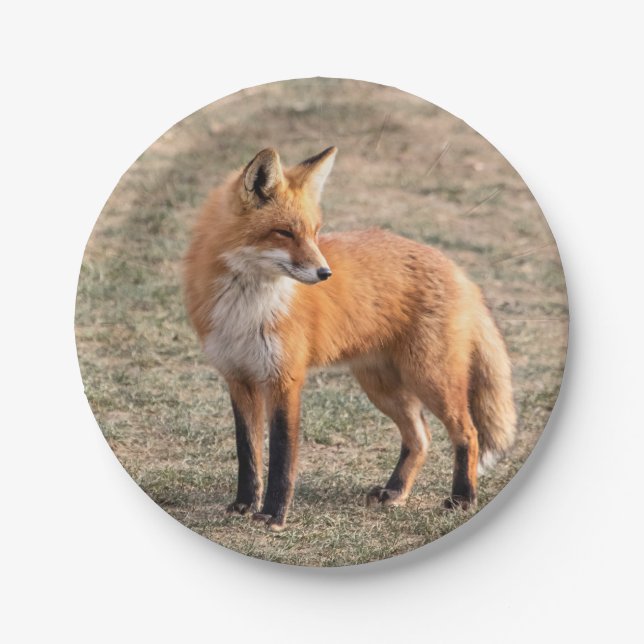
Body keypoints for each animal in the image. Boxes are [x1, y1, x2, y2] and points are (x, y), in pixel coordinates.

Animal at [183, 146, 516, 532]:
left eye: (315, 232)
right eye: (284, 232)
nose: (325, 273)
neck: (247, 307)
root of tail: (459, 270)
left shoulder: (285, 380)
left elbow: (281, 454)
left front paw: (274, 514)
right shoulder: (238, 378)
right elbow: (248, 451)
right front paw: (243, 504)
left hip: (430, 378)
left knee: (468, 432)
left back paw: (462, 498)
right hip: (381, 387)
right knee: (420, 437)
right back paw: (395, 492)